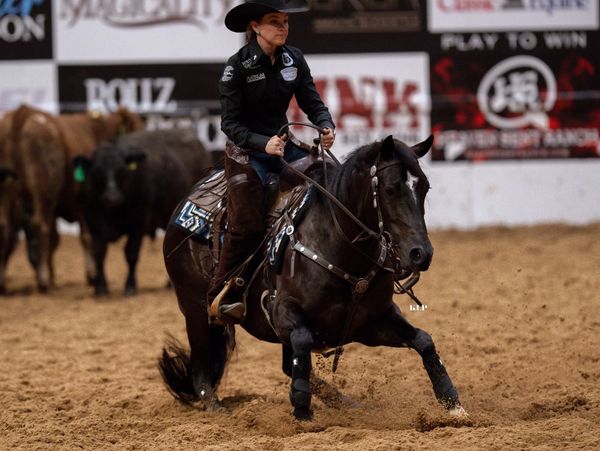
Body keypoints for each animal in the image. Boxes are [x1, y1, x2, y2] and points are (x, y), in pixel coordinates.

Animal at [0, 106, 143, 294]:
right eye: (137, 128)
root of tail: (21, 114)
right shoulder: (83, 201)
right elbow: (86, 236)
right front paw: (91, 275)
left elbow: (55, 239)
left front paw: (52, 275)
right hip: (42, 189)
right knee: (39, 225)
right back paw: (44, 280)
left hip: (8, 189)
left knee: (5, 226)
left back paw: (6, 282)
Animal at [74, 128, 212, 296]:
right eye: (97, 172)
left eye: (122, 171)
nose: (113, 197)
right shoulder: (94, 223)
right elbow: (99, 253)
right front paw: (100, 287)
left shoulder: (138, 222)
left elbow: (131, 253)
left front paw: (130, 285)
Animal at [162, 133, 466, 420]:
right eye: (391, 188)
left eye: (424, 187)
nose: (421, 254)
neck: (340, 247)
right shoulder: (282, 313)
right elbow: (302, 343)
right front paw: (302, 408)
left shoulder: (370, 323)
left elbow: (424, 340)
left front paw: (452, 404)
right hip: (195, 310)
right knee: (201, 370)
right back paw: (217, 407)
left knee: (286, 364)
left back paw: (345, 402)